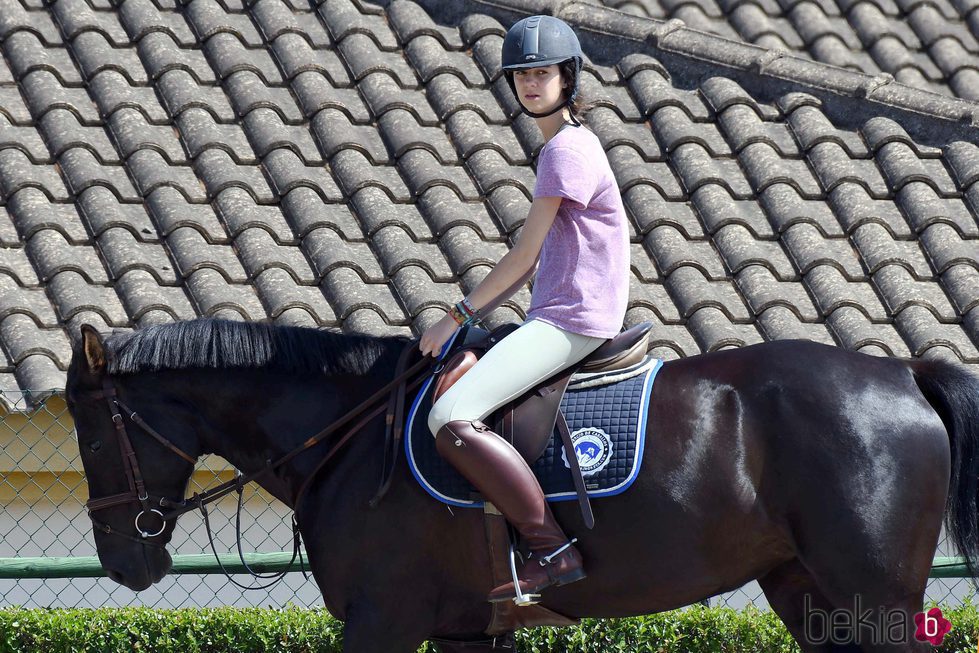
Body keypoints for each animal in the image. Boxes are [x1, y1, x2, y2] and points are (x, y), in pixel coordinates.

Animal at [69, 318, 979, 648]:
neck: (349, 431)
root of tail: (901, 373)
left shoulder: (383, 620)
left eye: (90, 428)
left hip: (874, 599)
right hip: (804, 591)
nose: (124, 562)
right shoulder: (466, 628)